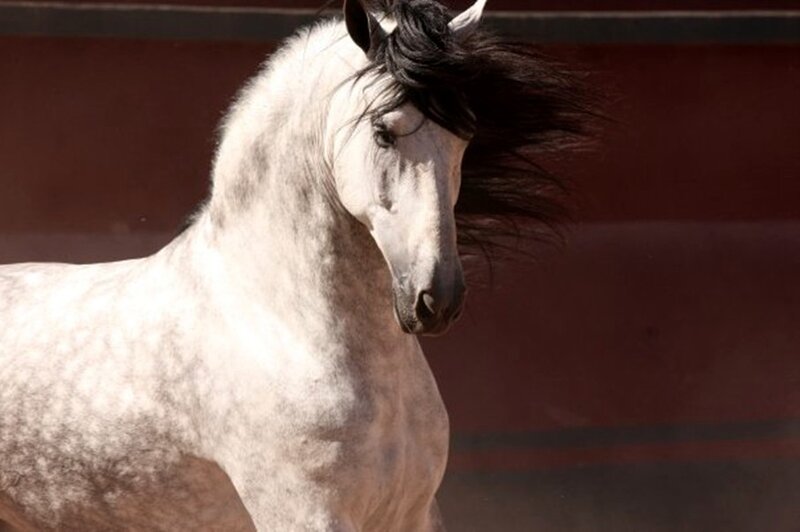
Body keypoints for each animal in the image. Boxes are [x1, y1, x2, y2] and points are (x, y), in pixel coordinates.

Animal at [0, 0, 592, 529]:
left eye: (464, 136)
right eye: (383, 131)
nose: (436, 299)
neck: (280, 324)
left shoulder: (413, 515)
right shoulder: (305, 516)